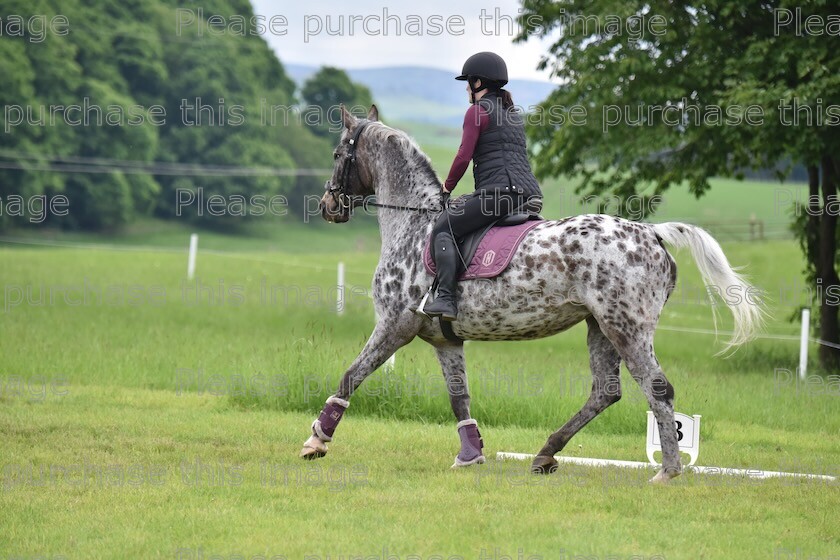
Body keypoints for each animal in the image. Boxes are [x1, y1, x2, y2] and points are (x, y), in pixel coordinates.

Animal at [298, 105, 764, 482]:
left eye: (338, 155)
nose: (327, 206)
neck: (414, 224)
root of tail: (651, 232)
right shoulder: (444, 339)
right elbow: (459, 397)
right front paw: (470, 454)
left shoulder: (396, 324)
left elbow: (351, 375)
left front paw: (317, 440)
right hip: (600, 326)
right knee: (606, 391)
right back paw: (546, 453)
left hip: (627, 327)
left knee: (657, 389)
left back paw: (667, 471)